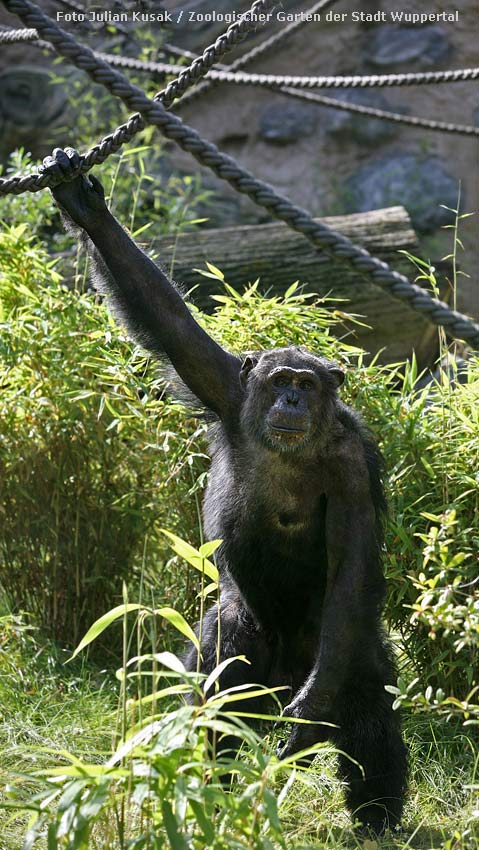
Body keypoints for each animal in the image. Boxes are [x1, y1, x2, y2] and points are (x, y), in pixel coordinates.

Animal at [42, 149, 408, 832]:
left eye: (308, 385)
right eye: (281, 380)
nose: (291, 399)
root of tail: (285, 669)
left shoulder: (351, 464)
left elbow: (352, 566)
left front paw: (311, 714)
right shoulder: (226, 388)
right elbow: (171, 325)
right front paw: (83, 202)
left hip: (336, 645)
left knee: (368, 695)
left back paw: (377, 816)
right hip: (239, 642)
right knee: (214, 691)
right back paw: (207, 790)